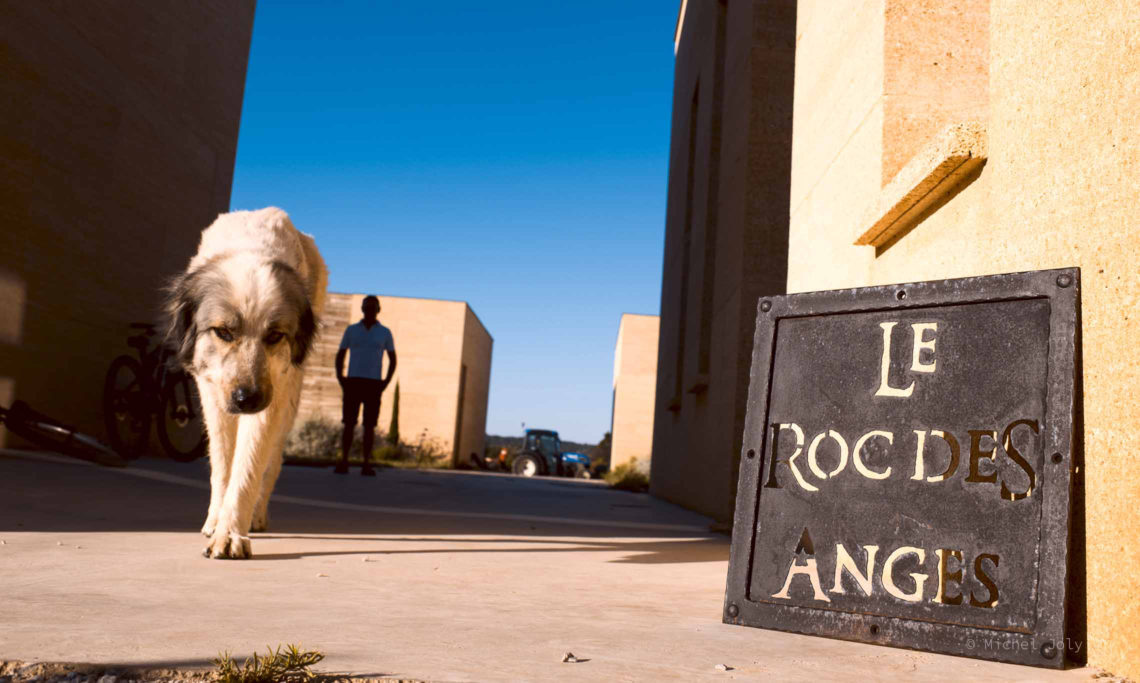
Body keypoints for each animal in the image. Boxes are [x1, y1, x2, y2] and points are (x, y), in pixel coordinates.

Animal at [165, 209, 328, 560]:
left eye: (275, 335)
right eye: (224, 332)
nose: (247, 399)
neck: (250, 248)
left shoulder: (273, 392)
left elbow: (249, 465)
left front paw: (230, 534)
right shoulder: (212, 392)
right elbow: (222, 464)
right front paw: (216, 521)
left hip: (288, 400)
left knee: (272, 461)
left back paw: (256, 515)